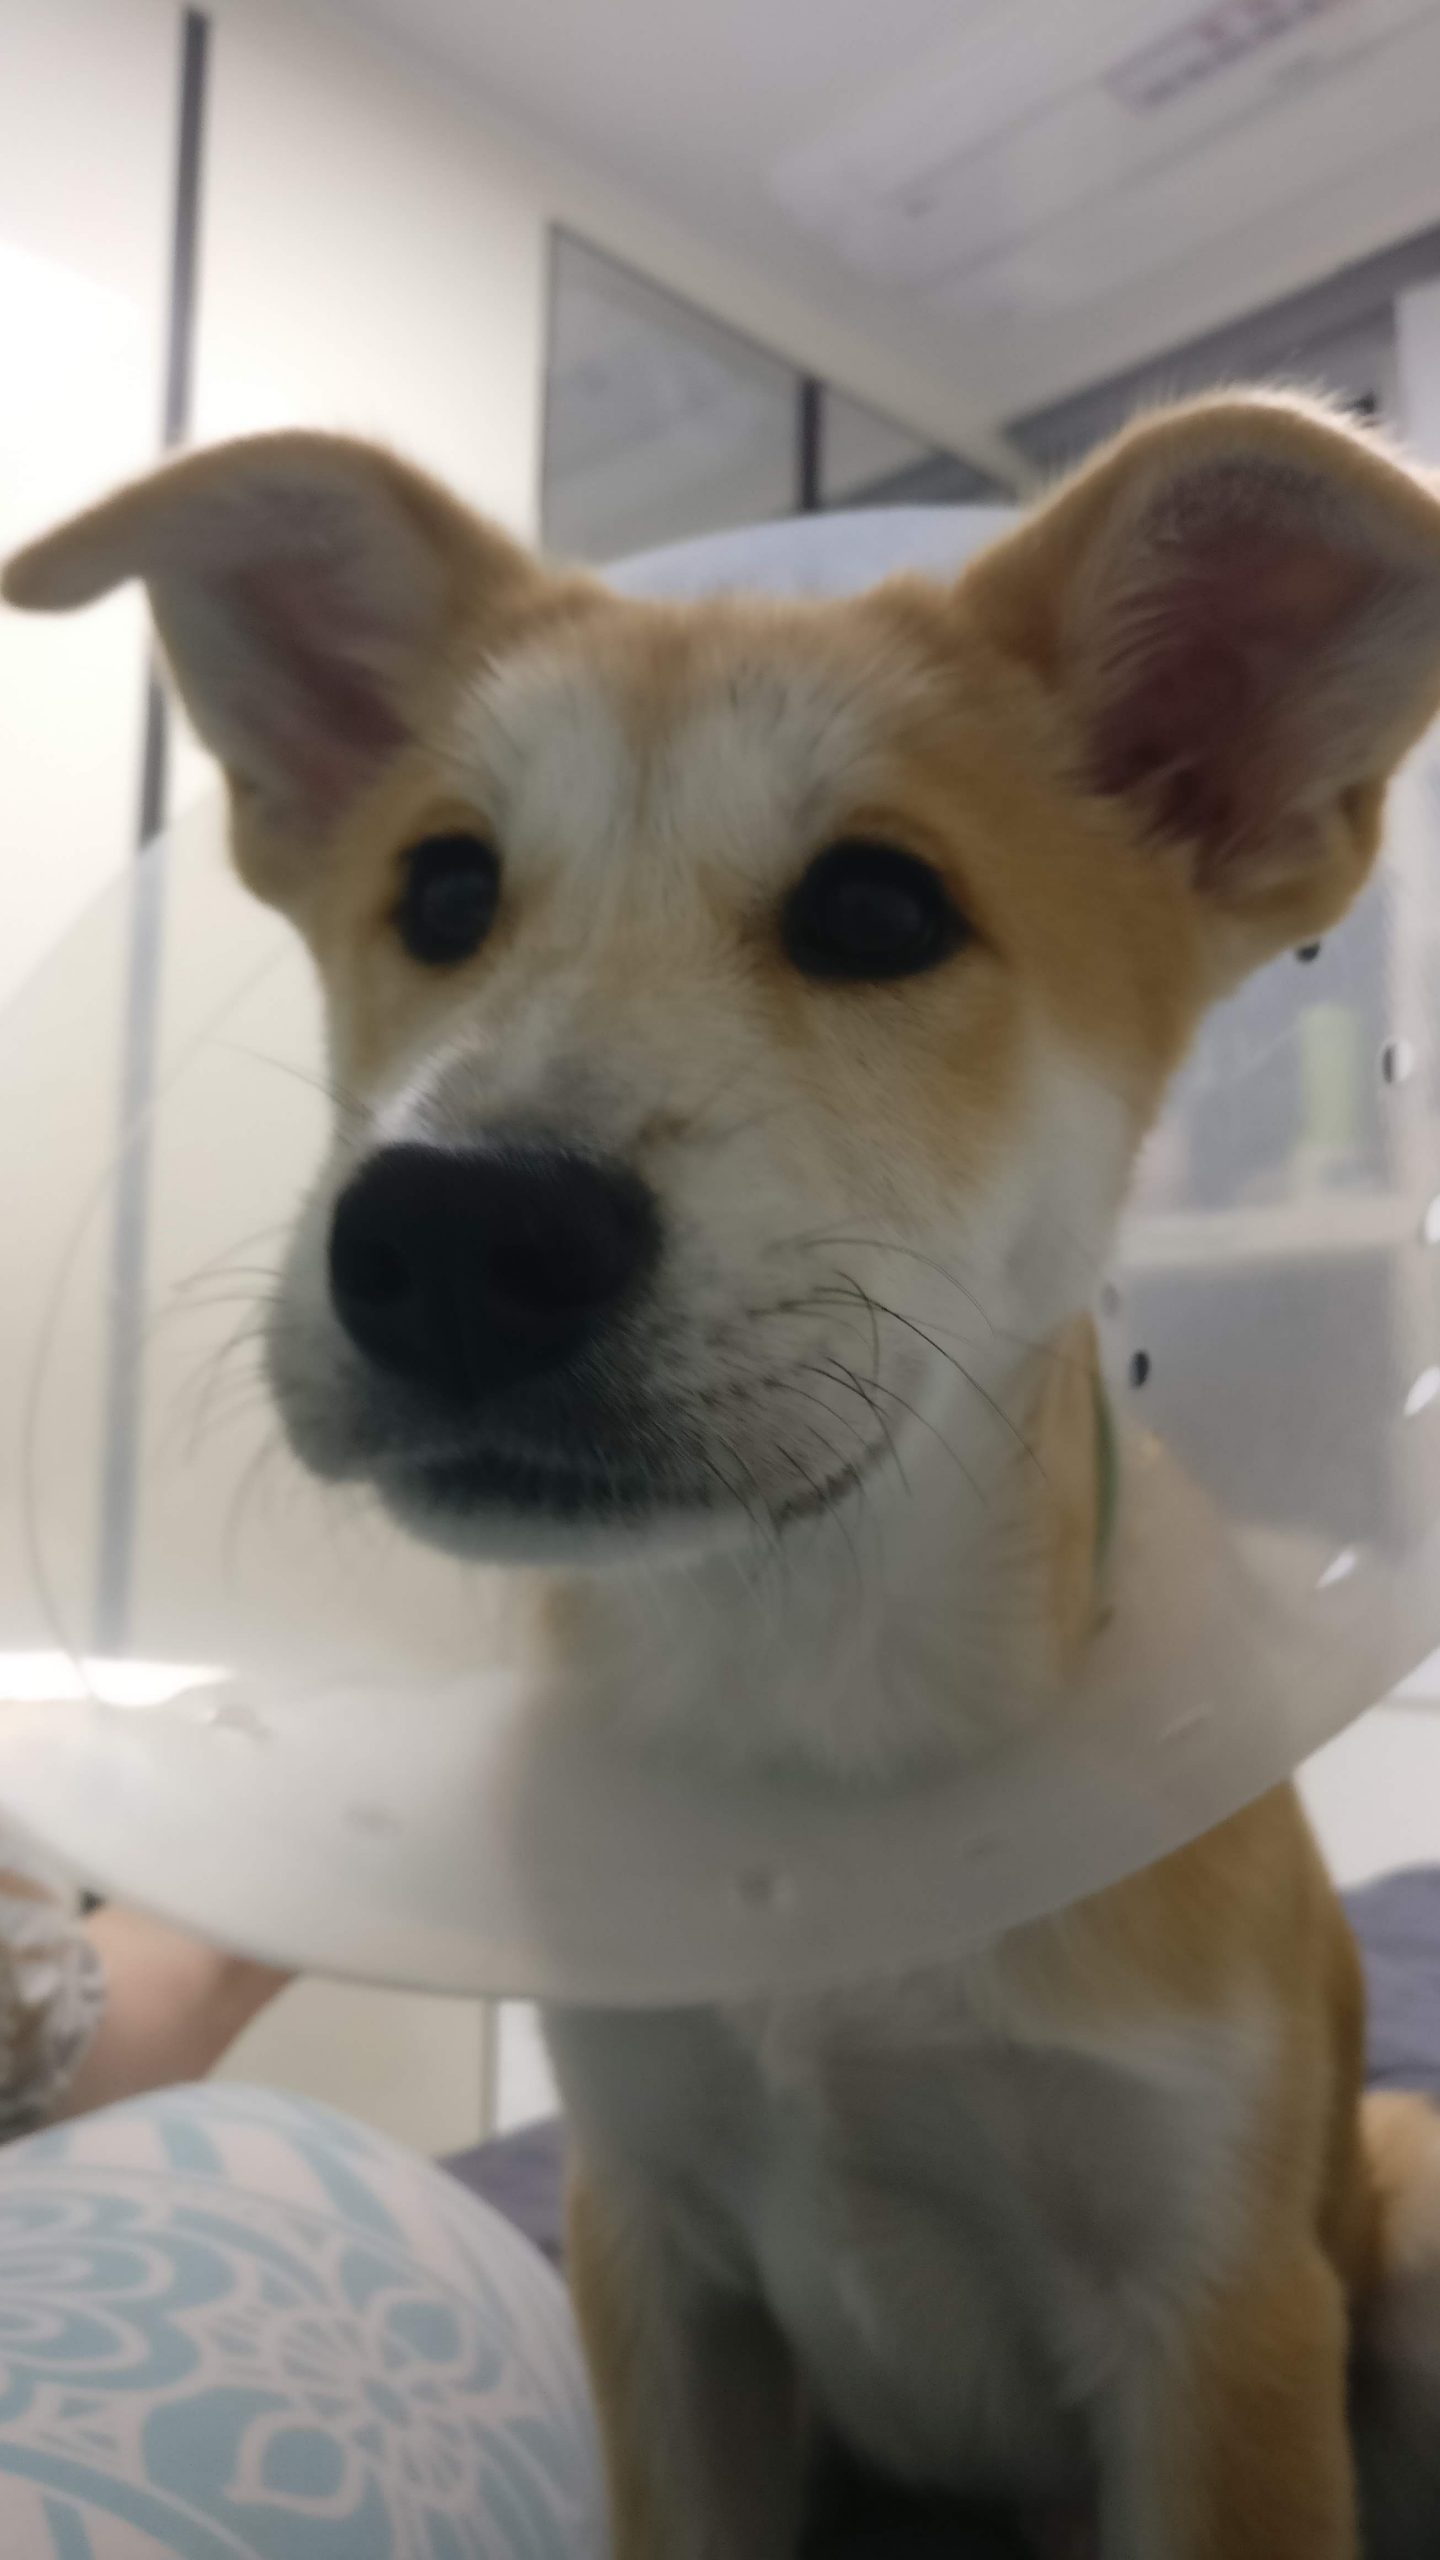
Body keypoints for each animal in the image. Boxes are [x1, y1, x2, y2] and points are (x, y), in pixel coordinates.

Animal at [11, 389, 1440, 2558]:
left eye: (880, 911)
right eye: (443, 892)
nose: (447, 1237)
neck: (804, 1732)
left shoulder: (1220, 2319)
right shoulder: (654, 2251)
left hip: (1406, 2182)